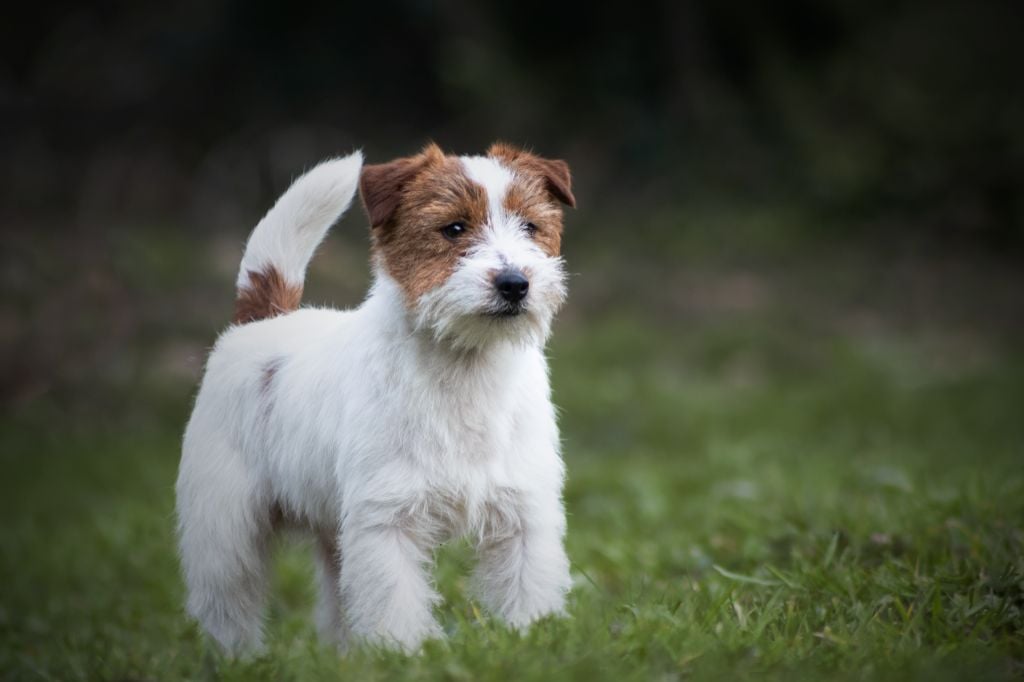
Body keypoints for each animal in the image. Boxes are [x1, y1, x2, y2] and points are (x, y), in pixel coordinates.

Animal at [176, 140, 577, 651]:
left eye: (530, 226)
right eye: (454, 228)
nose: (514, 284)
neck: (464, 365)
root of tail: (261, 319)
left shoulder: (524, 513)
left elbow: (527, 587)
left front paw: (531, 642)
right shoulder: (387, 521)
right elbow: (394, 603)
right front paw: (403, 655)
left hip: (333, 530)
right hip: (224, 527)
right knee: (227, 602)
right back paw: (239, 658)